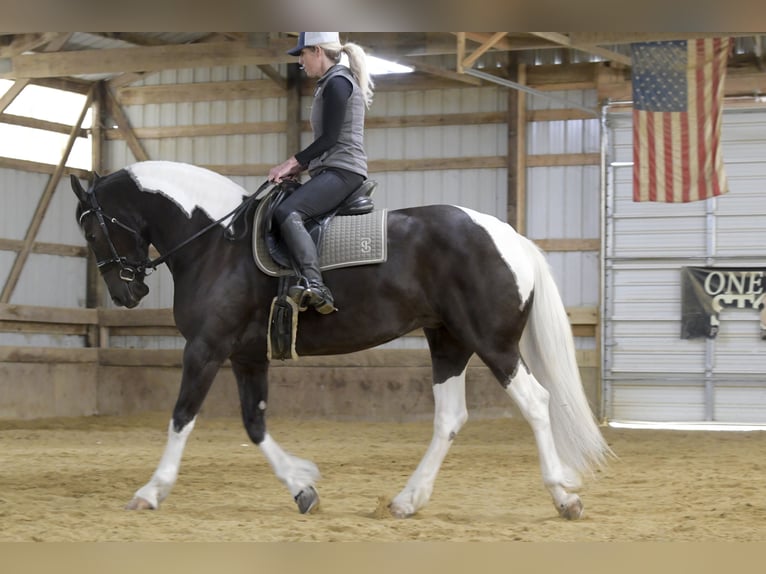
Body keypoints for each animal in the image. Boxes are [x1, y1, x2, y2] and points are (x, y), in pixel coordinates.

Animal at [70, 160, 611, 520]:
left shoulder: (206, 349)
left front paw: (151, 491)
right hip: (448, 342)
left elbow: (182, 417)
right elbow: (254, 425)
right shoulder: (247, 356)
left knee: (535, 403)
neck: (216, 244)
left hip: (492, 344)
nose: (127, 293)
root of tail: (510, 237)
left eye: (94, 231)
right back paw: (407, 500)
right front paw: (302, 487)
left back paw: (563, 496)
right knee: (450, 418)